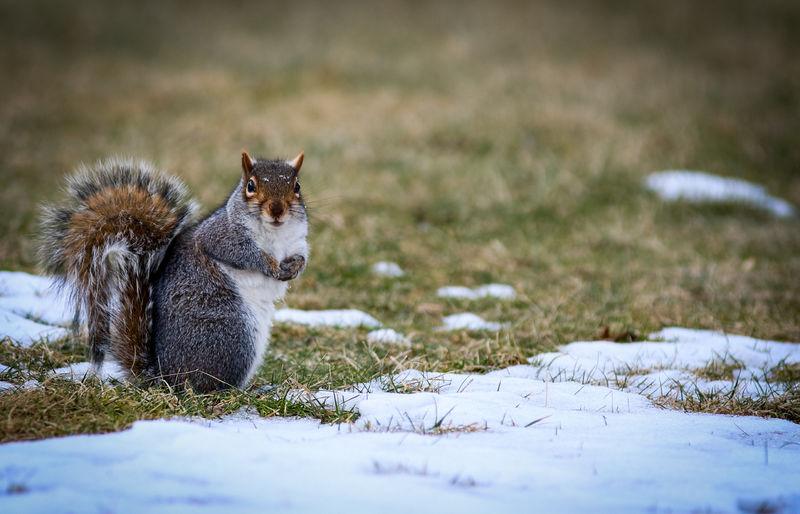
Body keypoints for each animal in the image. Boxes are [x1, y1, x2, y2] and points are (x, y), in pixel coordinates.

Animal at [39, 150, 310, 390]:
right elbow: (241, 253)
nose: (277, 210)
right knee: (206, 385)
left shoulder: (297, 241)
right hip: (231, 334)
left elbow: (302, 256)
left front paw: (295, 267)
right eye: (251, 186)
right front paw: (270, 266)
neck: (276, 233)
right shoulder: (220, 235)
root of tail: (164, 376)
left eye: (297, 186)